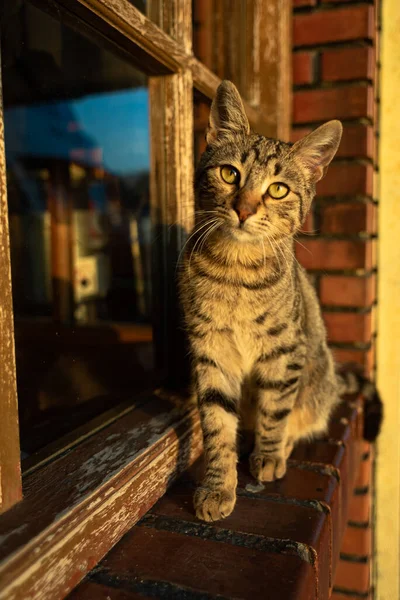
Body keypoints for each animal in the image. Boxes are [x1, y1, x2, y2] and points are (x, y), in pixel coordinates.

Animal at [180, 79, 382, 520]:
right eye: (229, 173)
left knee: (299, 415)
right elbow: (217, 423)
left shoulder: (285, 351)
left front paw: (269, 453)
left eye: (277, 189)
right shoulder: (211, 352)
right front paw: (218, 485)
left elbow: (275, 409)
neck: (236, 269)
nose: (243, 209)